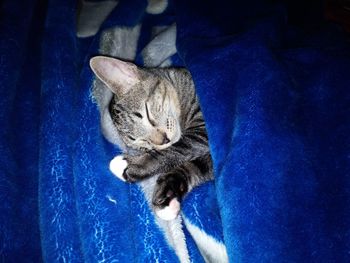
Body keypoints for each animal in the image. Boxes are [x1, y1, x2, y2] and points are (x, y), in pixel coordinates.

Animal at [89, 56, 213, 221]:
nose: (163, 140)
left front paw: (134, 164)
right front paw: (168, 194)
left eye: (147, 114)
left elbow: (175, 149)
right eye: (143, 143)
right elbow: (194, 166)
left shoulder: (202, 129)